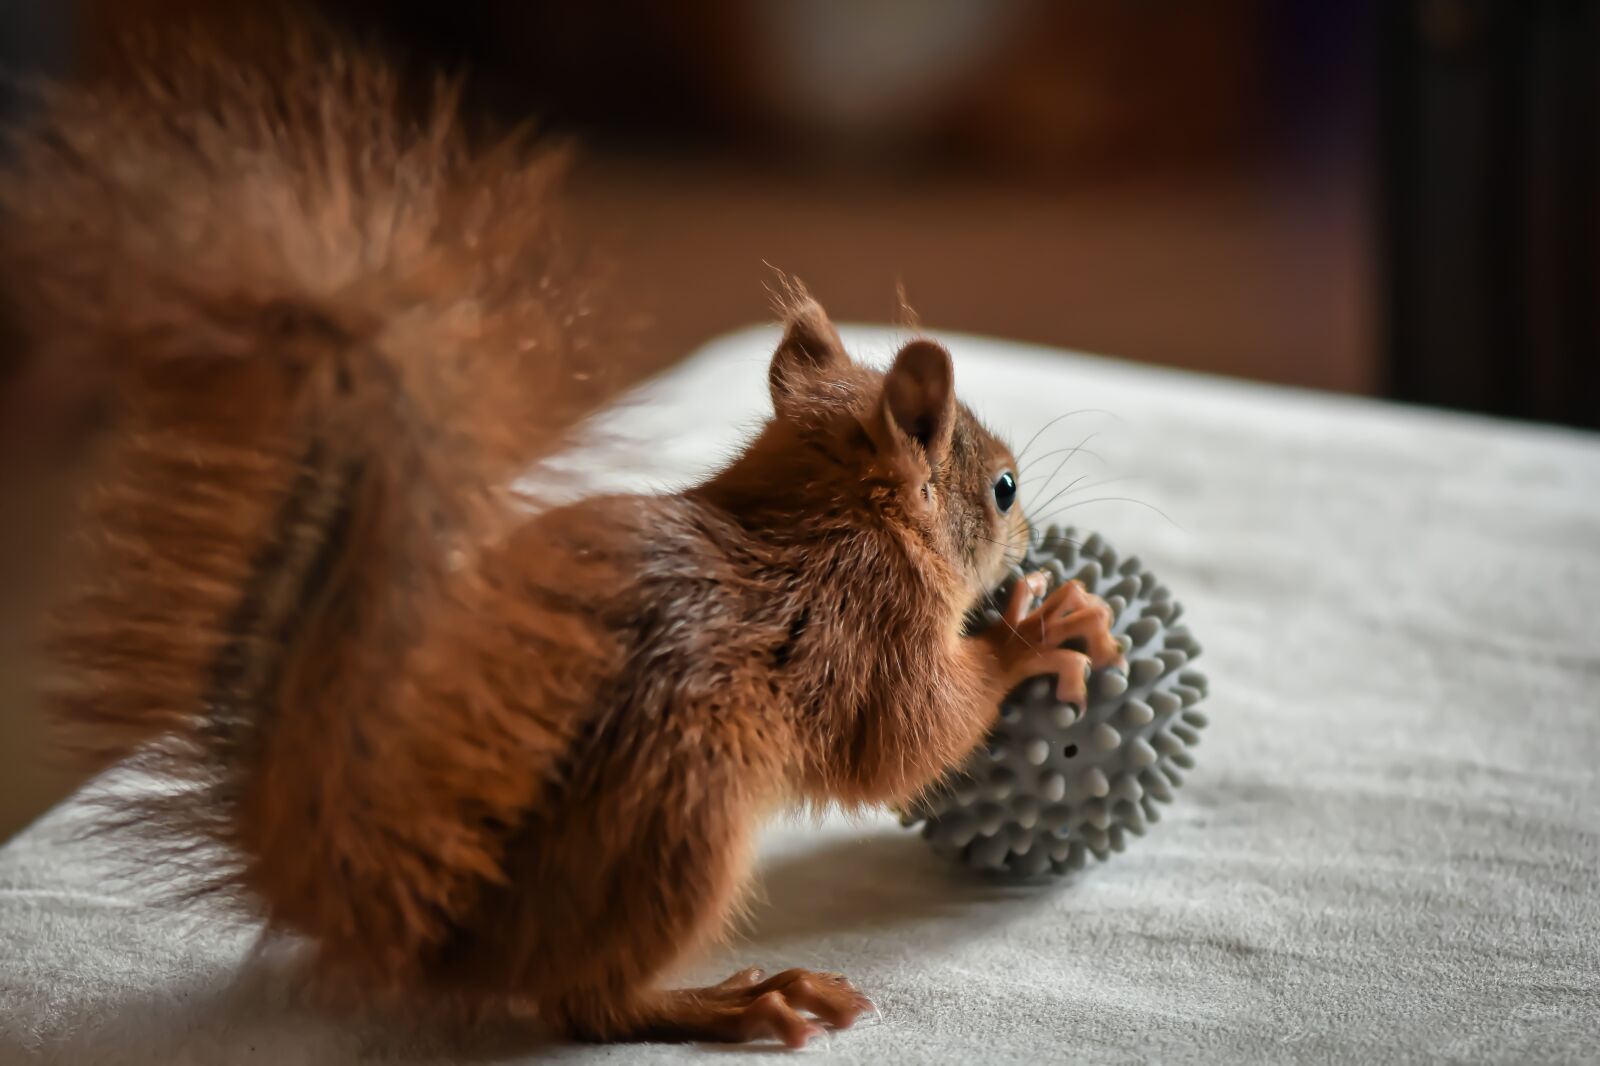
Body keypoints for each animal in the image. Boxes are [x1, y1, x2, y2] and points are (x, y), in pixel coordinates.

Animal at [4, 31, 1124, 1051]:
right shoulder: (868, 626)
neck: (825, 515)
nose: (1029, 536)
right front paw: (1037, 632)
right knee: (584, 1006)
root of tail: (440, 935)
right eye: (1003, 487)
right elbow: (906, 741)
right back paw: (737, 1001)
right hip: (684, 814)